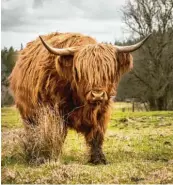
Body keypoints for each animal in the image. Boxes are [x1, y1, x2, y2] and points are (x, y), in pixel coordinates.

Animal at [9, 32, 151, 164]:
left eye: (108, 71)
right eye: (81, 72)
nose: (97, 95)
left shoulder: (102, 112)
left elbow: (97, 135)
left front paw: (99, 159)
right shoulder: (53, 112)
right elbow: (56, 135)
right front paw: (52, 157)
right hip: (28, 115)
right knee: (33, 132)